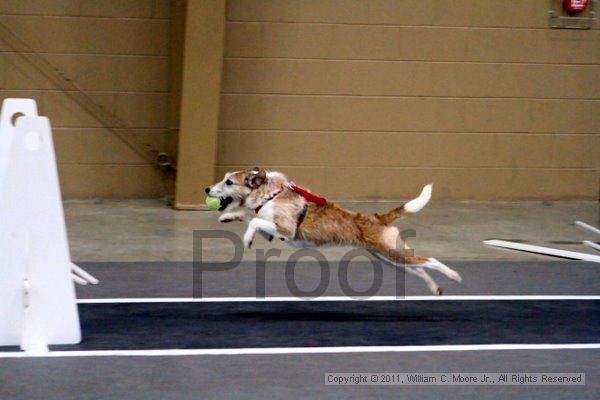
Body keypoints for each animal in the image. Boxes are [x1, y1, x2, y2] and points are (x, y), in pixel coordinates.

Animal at [204, 167, 462, 296]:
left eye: (228, 182)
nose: (207, 188)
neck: (272, 194)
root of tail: (377, 218)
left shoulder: (286, 230)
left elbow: (254, 222)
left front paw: (246, 237)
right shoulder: (271, 231)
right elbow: (250, 216)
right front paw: (228, 216)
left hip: (393, 254)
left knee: (430, 260)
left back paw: (453, 275)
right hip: (392, 259)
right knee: (420, 269)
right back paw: (435, 288)